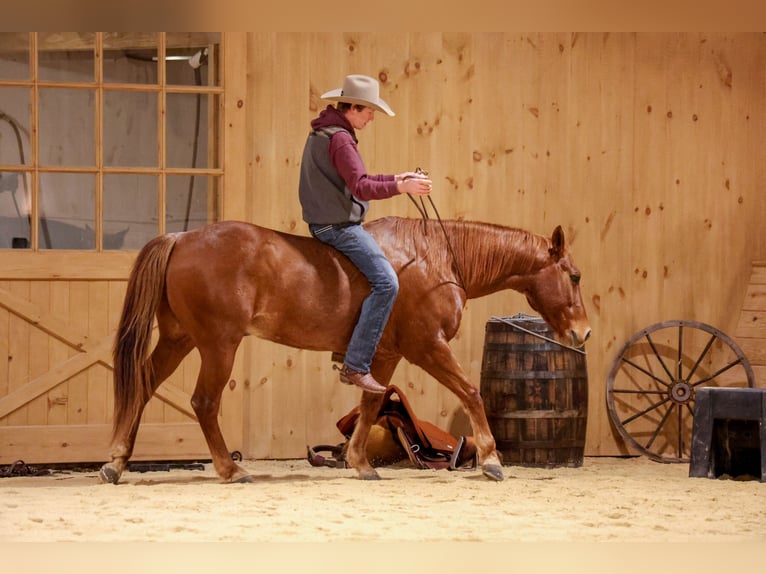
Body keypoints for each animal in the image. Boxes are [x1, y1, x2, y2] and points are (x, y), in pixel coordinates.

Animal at [99, 216, 591, 484]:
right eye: (575, 275)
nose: (583, 333)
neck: (434, 259)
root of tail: (182, 238)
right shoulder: (427, 347)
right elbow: (471, 392)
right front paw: (490, 459)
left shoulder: (386, 355)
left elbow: (372, 404)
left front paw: (359, 462)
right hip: (218, 344)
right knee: (204, 402)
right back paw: (230, 469)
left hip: (179, 339)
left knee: (142, 387)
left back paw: (117, 462)